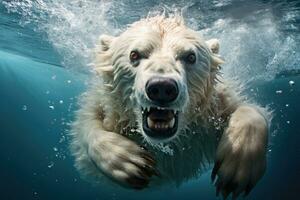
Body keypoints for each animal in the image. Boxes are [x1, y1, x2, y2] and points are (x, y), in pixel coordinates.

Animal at [71, 15, 270, 198]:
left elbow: (247, 109)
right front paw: (128, 162)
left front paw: (238, 162)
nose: (161, 88)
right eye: (134, 54)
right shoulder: (106, 105)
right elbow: (86, 123)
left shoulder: (211, 110)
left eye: (191, 56)